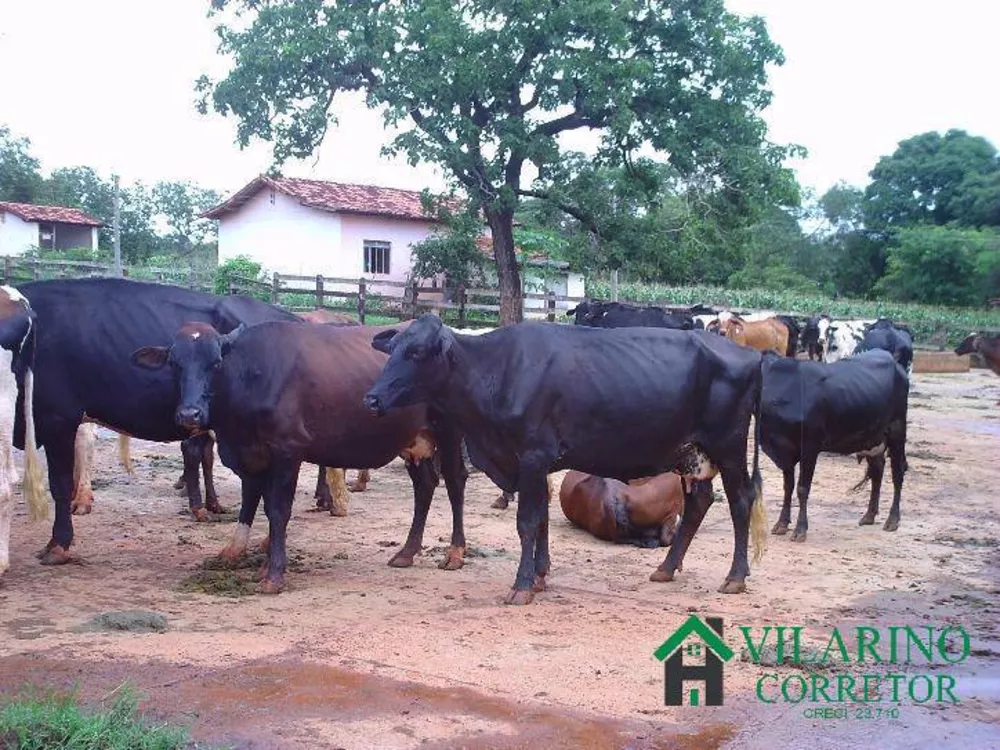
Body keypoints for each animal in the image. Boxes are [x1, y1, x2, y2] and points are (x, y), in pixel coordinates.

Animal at [760, 350, 912, 544]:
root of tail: (892, 360)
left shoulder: (809, 447)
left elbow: (802, 488)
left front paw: (800, 529)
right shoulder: (785, 451)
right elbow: (788, 487)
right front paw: (781, 524)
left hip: (897, 430)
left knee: (898, 473)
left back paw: (892, 520)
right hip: (873, 438)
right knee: (877, 470)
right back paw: (869, 516)